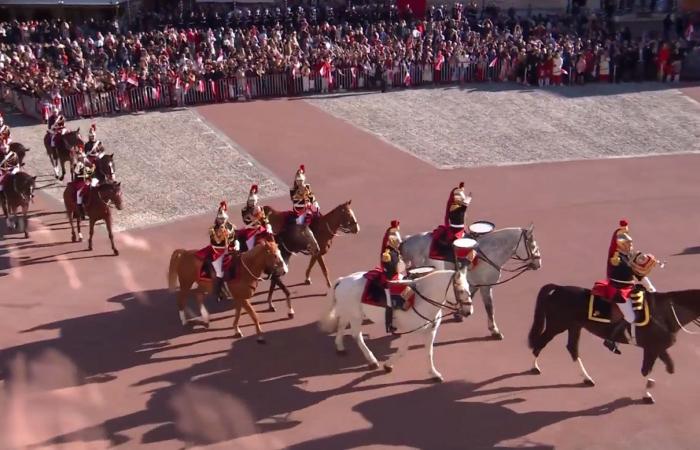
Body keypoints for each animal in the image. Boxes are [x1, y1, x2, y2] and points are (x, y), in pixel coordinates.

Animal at [320, 268, 474, 382]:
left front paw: (434, 373)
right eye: (461, 290)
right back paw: (372, 360)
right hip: (355, 316)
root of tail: (343, 280)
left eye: (469, 288)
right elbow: (402, 351)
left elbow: (429, 353)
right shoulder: (409, 332)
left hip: (349, 312)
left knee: (341, 326)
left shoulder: (431, 331)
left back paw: (340, 347)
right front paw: (388, 365)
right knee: (357, 335)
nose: (469, 311)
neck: (422, 299)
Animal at [400, 225, 540, 338]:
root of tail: (407, 240)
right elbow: (489, 307)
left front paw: (459, 314)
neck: (487, 253)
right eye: (532, 245)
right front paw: (494, 330)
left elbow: (469, 296)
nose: (539, 263)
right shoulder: (486, 286)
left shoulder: (475, 284)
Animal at [528, 282, 700, 404]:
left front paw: (651, 385)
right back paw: (534, 366)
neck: (665, 312)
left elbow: (669, 367)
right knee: (541, 342)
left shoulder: (659, 348)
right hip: (557, 325)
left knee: (572, 348)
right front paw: (647, 394)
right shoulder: (651, 348)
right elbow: (647, 370)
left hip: (574, 326)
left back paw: (587, 378)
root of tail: (559, 288)